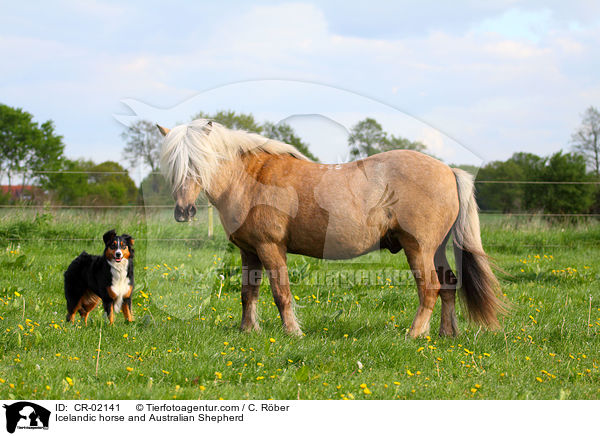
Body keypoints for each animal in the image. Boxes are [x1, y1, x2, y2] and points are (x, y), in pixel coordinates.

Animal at [157, 119, 504, 338]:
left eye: (198, 162)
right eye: (173, 165)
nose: (184, 211)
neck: (252, 179)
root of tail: (448, 170)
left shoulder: (271, 248)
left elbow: (281, 293)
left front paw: (293, 332)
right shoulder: (249, 251)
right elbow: (248, 292)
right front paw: (248, 330)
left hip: (419, 249)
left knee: (430, 289)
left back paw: (415, 334)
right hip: (436, 250)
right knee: (448, 286)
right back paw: (446, 333)